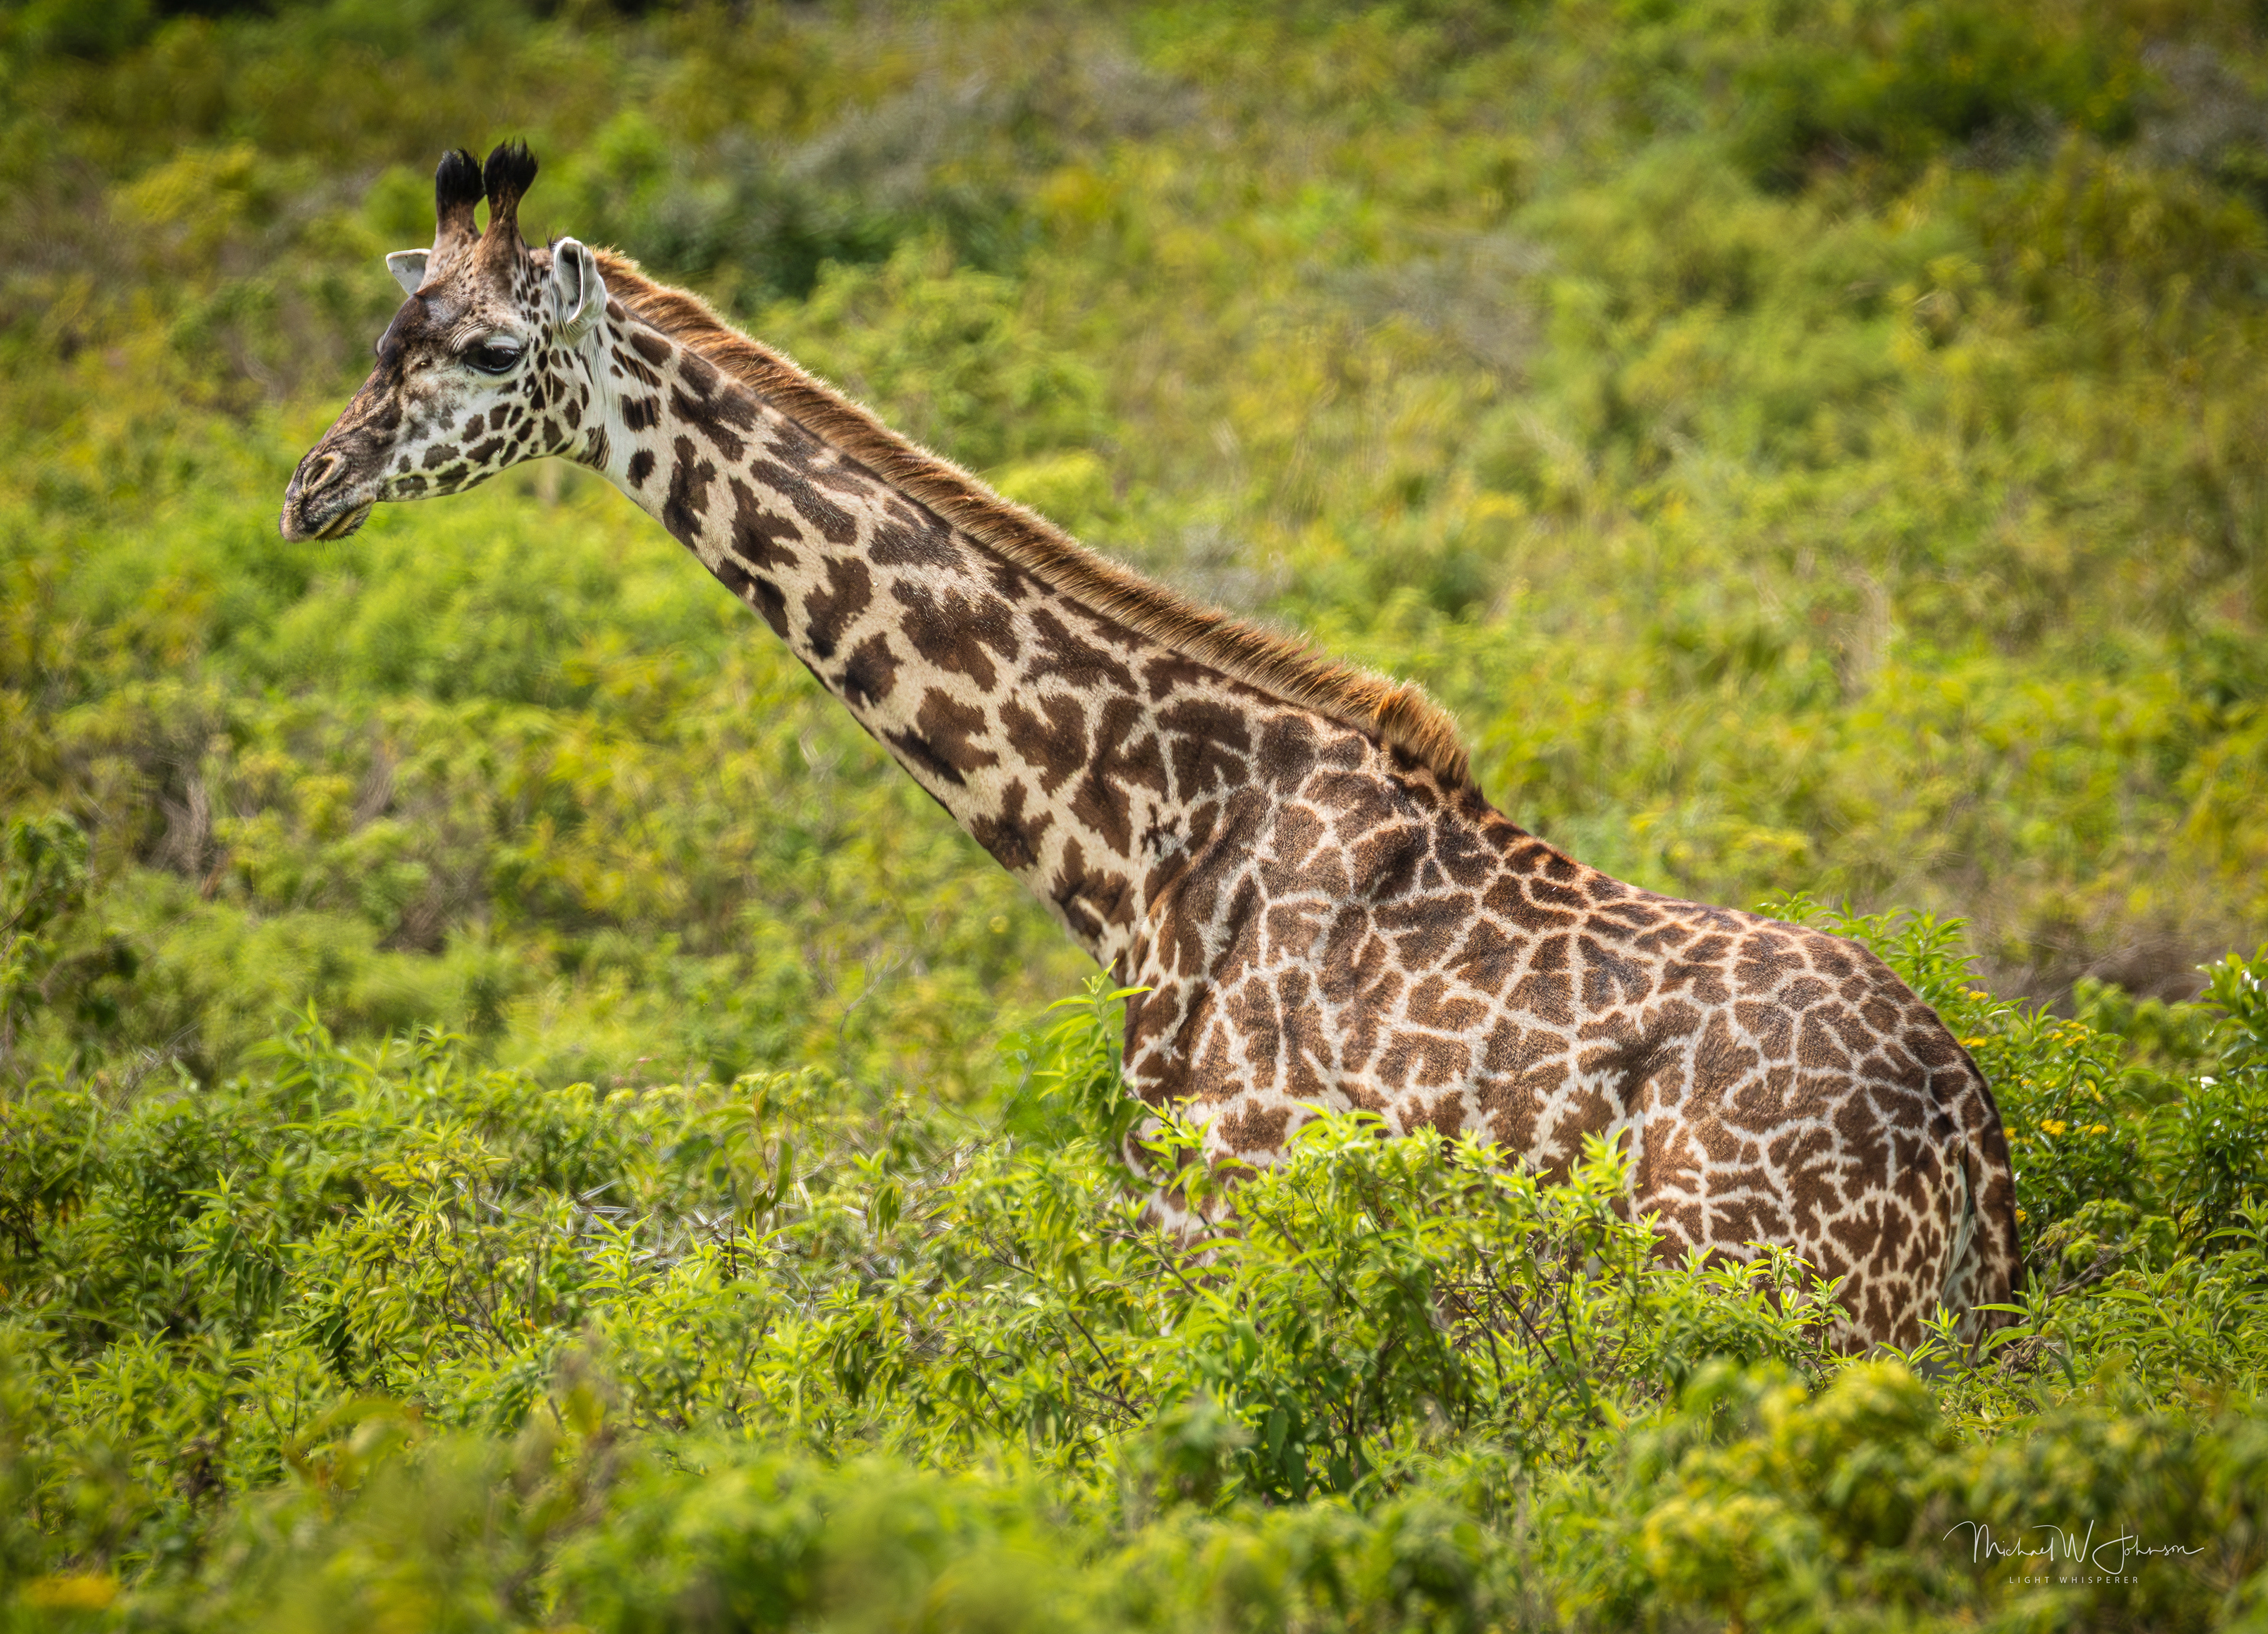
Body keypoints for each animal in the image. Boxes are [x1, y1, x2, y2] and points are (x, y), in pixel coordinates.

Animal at [281, 143, 2021, 1351]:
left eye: (491, 355)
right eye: (383, 334)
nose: (311, 489)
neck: (1144, 844)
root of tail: (1969, 1128)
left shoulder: (1211, 1211)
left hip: (1767, 1299)